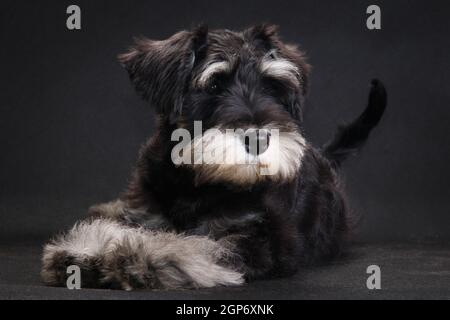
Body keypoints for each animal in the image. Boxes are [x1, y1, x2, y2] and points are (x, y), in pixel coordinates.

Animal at [40, 24, 384, 290]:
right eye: (215, 83)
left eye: (272, 86)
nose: (258, 138)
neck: (197, 180)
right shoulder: (139, 210)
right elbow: (109, 221)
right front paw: (82, 251)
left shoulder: (260, 237)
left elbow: (199, 247)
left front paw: (141, 259)